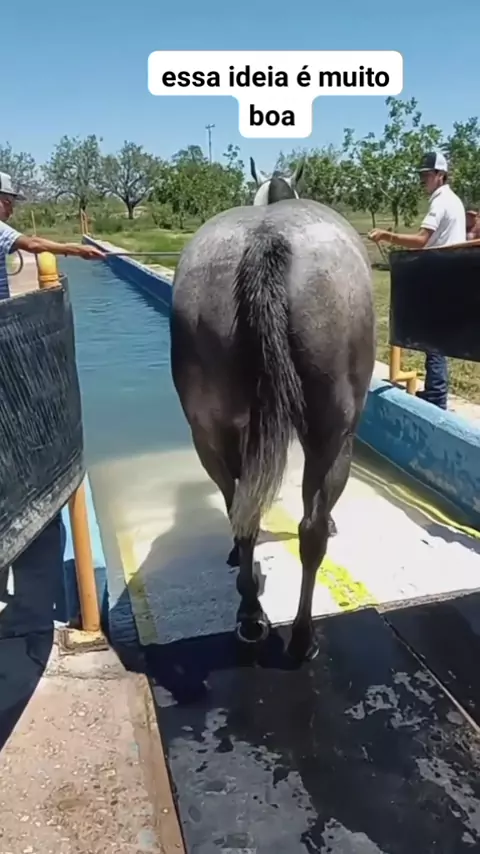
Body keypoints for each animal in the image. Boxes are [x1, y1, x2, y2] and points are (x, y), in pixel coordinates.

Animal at [170, 157, 376, 662]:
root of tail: (266, 241)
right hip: (333, 432)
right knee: (311, 530)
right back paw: (302, 638)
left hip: (209, 432)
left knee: (242, 514)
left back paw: (250, 613)